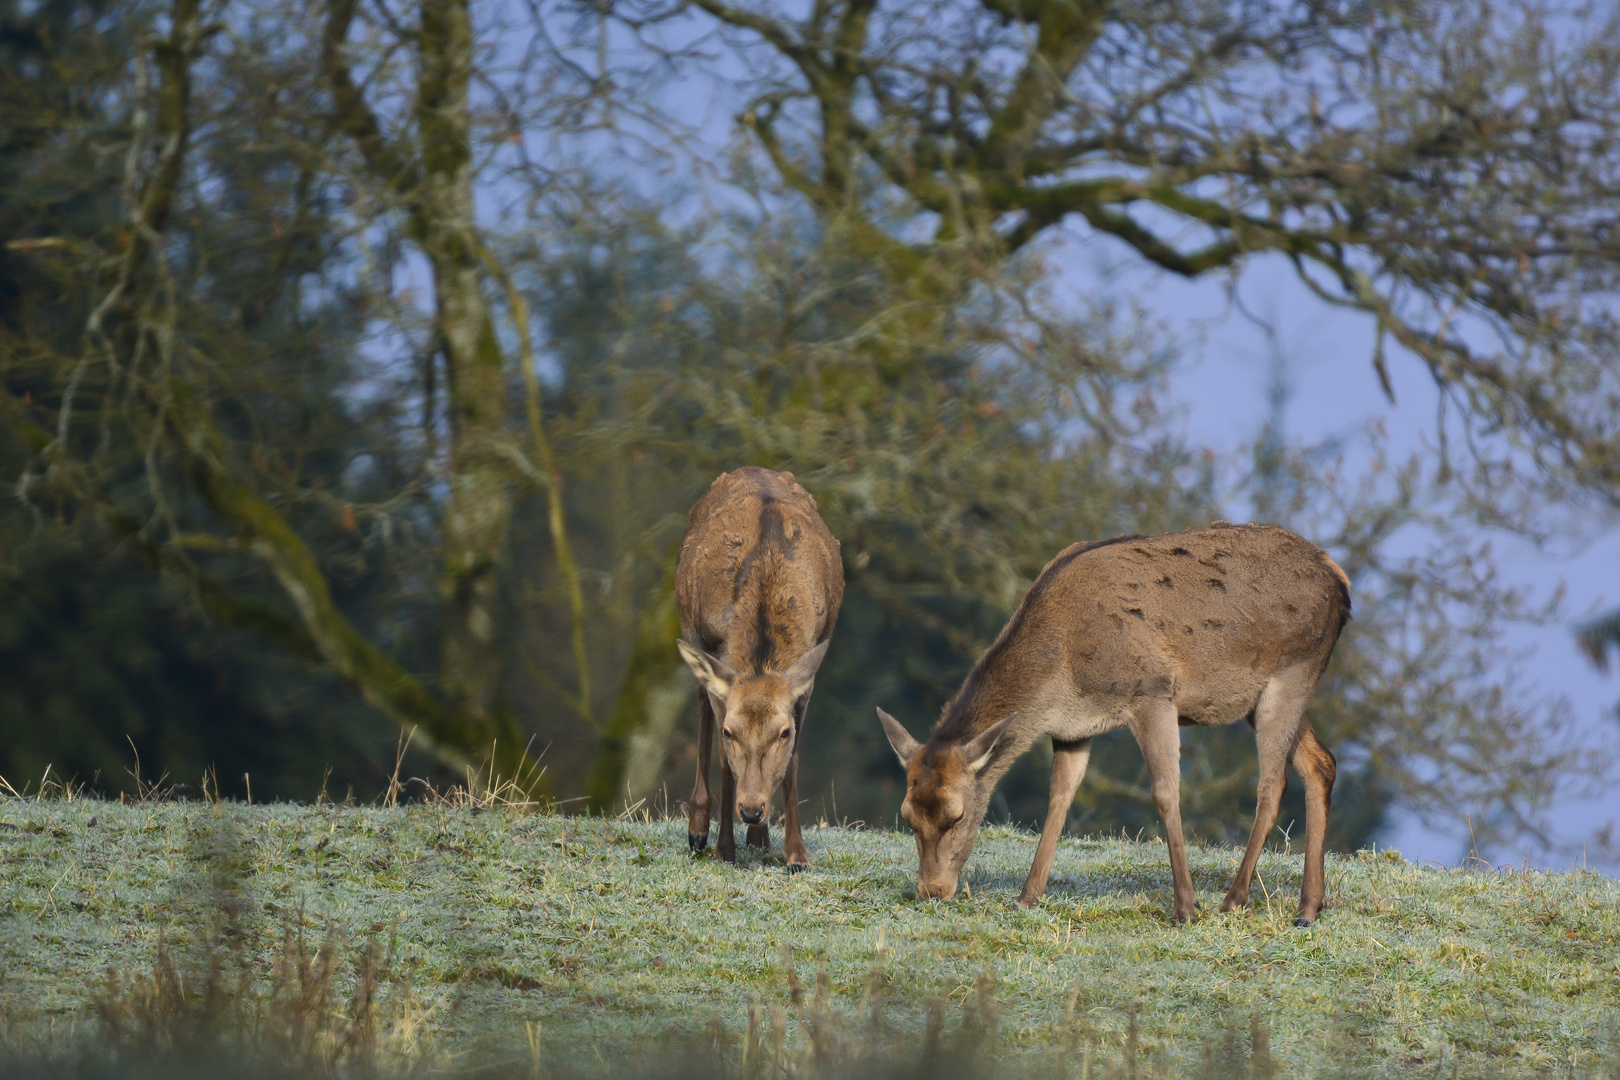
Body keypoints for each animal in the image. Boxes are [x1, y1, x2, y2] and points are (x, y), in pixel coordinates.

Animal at [673, 466, 842, 867]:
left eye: (783, 732)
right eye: (730, 732)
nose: (751, 810)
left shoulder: (804, 678)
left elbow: (792, 762)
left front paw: (796, 855)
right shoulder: (718, 656)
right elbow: (723, 759)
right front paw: (723, 849)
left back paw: (760, 838)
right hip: (690, 626)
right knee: (701, 702)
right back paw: (699, 828)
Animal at [881, 524, 1347, 932]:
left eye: (956, 816)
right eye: (907, 817)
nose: (931, 891)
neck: (1064, 672)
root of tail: (1340, 581)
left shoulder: (1153, 691)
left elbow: (1165, 791)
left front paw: (1186, 906)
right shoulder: (1072, 729)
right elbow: (1059, 799)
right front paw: (1027, 898)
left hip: (1293, 670)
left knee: (1272, 783)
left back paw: (1235, 898)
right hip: (1261, 696)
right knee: (1321, 763)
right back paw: (1309, 906)